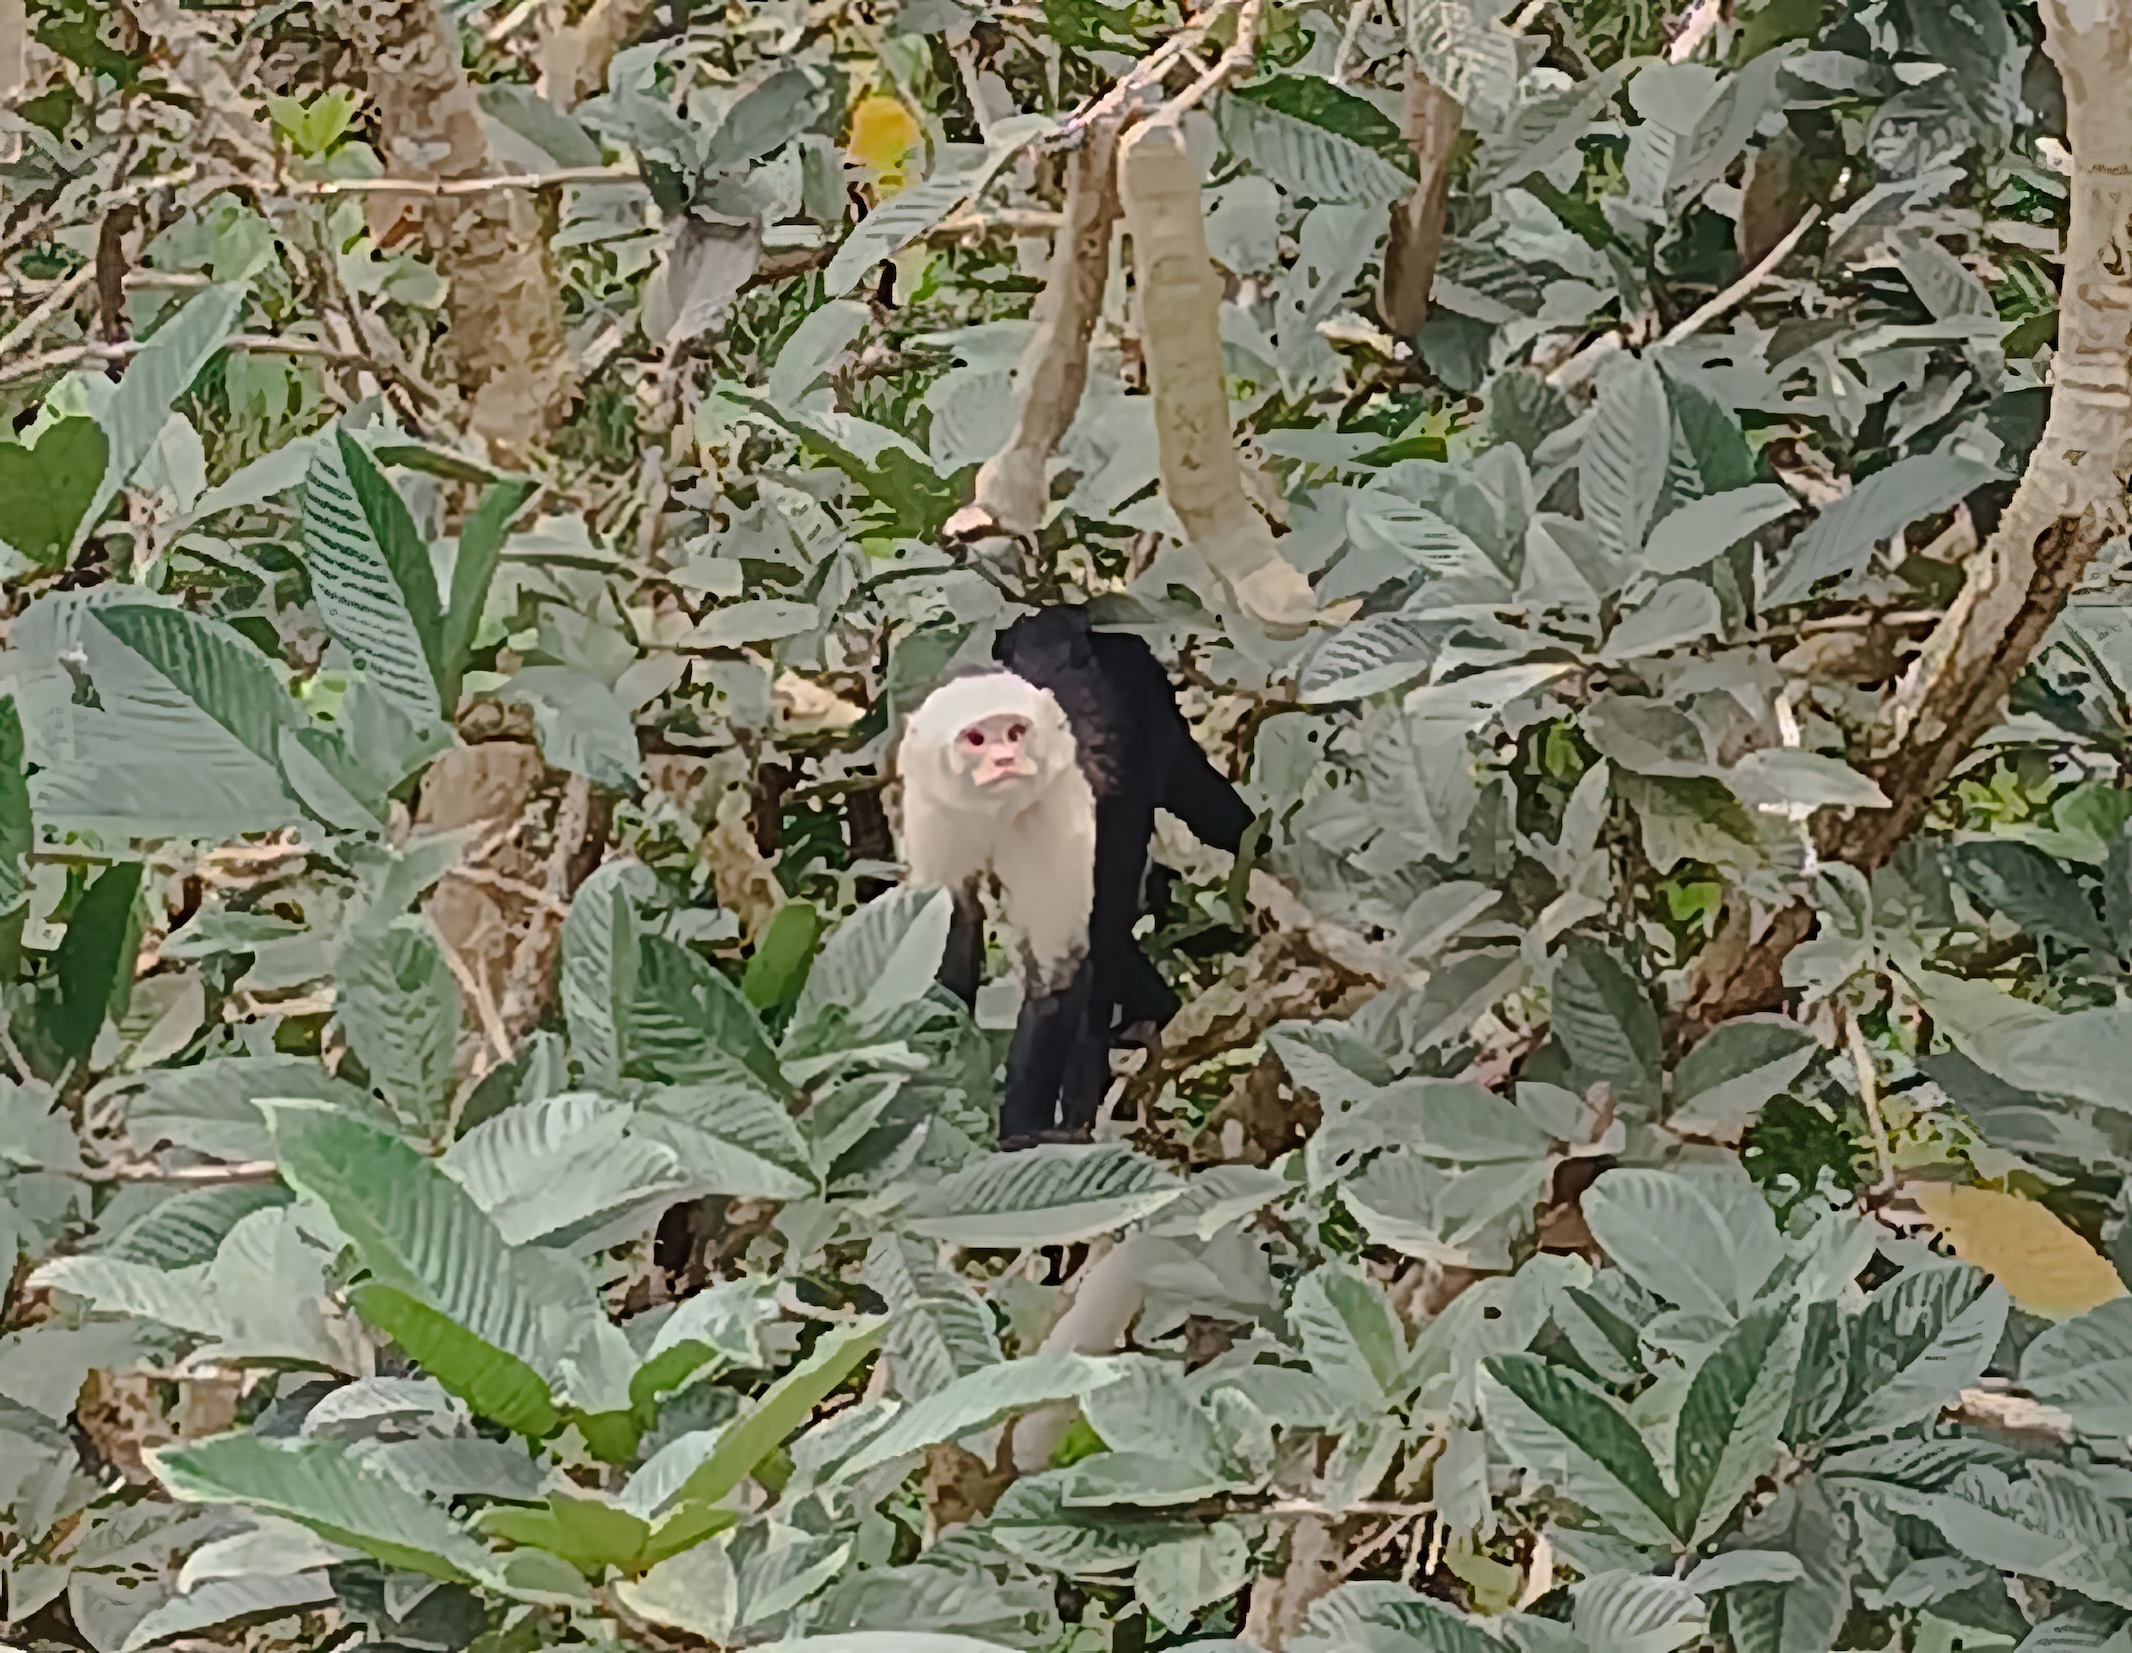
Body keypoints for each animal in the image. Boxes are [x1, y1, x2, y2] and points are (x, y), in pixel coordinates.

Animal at [897, 605, 1254, 1149]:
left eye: (1016, 734)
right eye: (976, 739)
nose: (1006, 760)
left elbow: (1059, 974)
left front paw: (1021, 1136)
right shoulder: (934, 802)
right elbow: (952, 930)